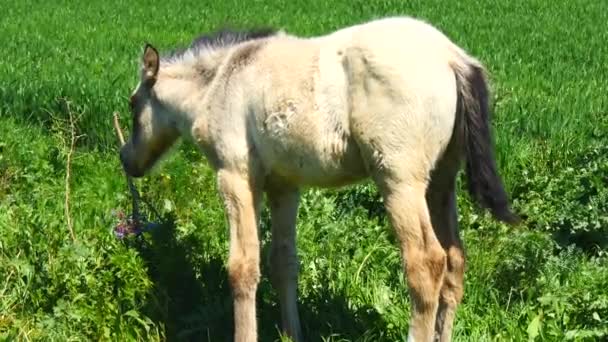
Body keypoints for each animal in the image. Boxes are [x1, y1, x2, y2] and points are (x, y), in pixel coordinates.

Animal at [121, 15, 520, 340]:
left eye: (132, 103)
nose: (127, 160)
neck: (221, 81)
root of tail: (453, 57)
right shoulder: (284, 186)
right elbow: (283, 262)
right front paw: (291, 334)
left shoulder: (235, 176)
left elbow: (242, 268)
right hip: (441, 182)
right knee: (454, 261)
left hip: (400, 181)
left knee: (426, 264)